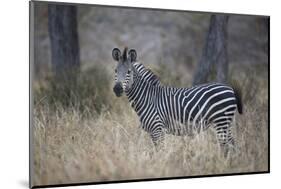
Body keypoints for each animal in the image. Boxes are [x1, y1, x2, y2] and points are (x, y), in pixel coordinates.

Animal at [111, 47, 241, 157]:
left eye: (129, 72)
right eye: (115, 70)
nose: (117, 89)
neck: (147, 97)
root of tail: (229, 88)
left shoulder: (157, 129)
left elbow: (160, 152)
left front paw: (160, 166)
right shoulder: (153, 131)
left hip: (221, 121)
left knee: (226, 145)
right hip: (225, 123)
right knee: (231, 144)